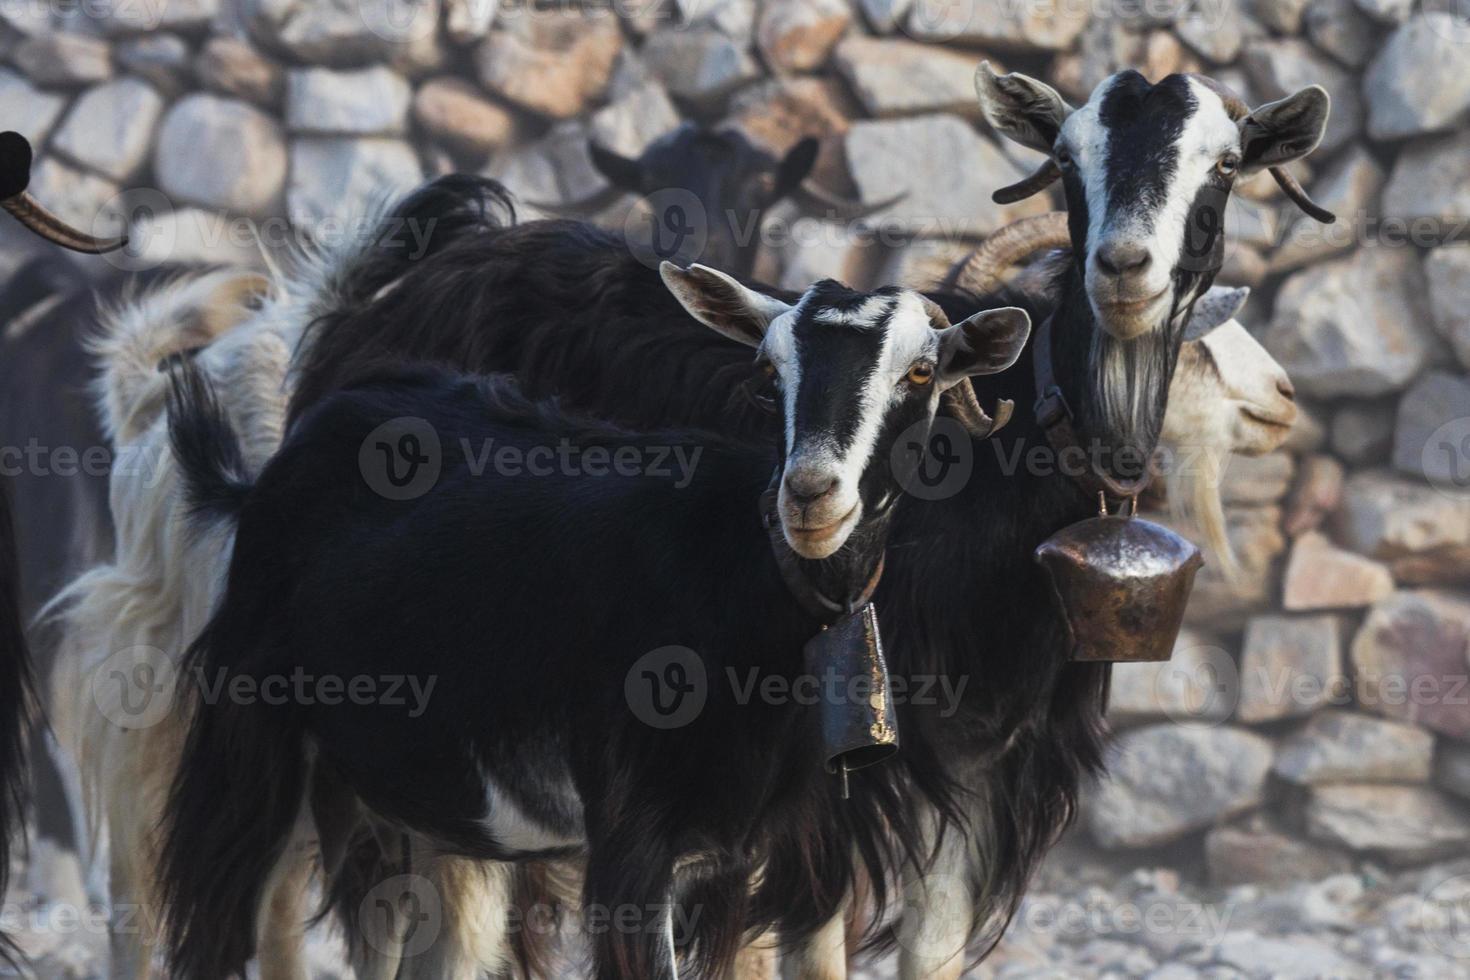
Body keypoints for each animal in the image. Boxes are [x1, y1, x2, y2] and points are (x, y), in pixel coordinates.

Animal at [155, 264, 1029, 975]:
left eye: (921, 370)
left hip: (421, 808)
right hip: (253, 748)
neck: (743, 580)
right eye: (767, 369)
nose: (812, 495)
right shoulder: (633, 843)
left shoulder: (747, 853)